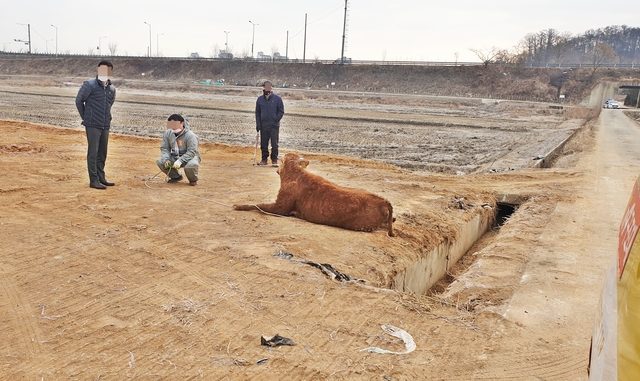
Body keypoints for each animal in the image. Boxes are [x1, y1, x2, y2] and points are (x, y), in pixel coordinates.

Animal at [235, 151, 396, 235]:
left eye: (281, 161)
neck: (294, 175)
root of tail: (383, 201)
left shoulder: (280, 207)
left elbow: (258, 205)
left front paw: (238, 206)